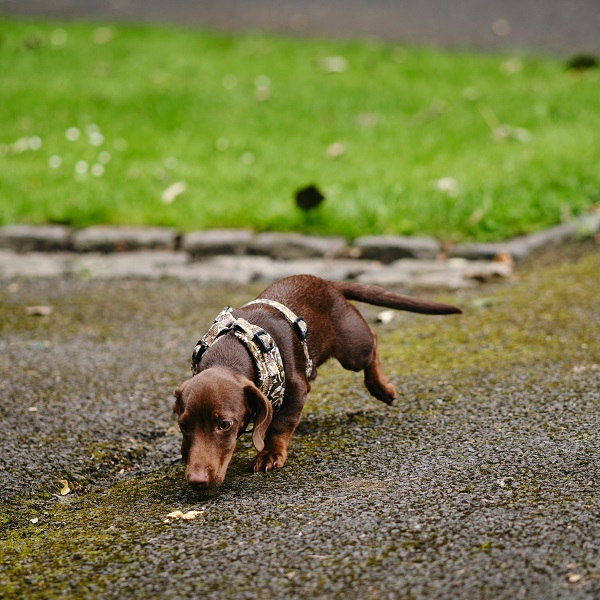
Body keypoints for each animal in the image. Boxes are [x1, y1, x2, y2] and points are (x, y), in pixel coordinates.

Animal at [171, 274, 462, 490]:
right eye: (184, 425)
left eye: (224, 425)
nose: (196, 481)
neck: (235, 350)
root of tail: (330, 283)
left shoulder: (296, 390)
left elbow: (280, 425)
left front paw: (270, 454)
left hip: (353, 349)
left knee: (374, 339)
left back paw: (382, 387)